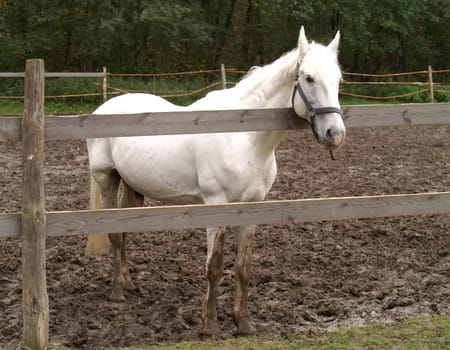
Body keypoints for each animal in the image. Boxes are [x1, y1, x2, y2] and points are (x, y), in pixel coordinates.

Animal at [85, 26, 344, 334]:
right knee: (114, 234)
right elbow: (215, 265)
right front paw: (208, 322)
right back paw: (117, 292)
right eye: (308, 77)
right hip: (107, 179)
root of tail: (104, 108)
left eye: (338, 79)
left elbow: (243, 267)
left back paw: (128, 283)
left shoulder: (253, 207)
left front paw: (243, 323)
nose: (335, 134)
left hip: (131, 186)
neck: (243, 135)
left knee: (123, 233)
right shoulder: (216, 204)